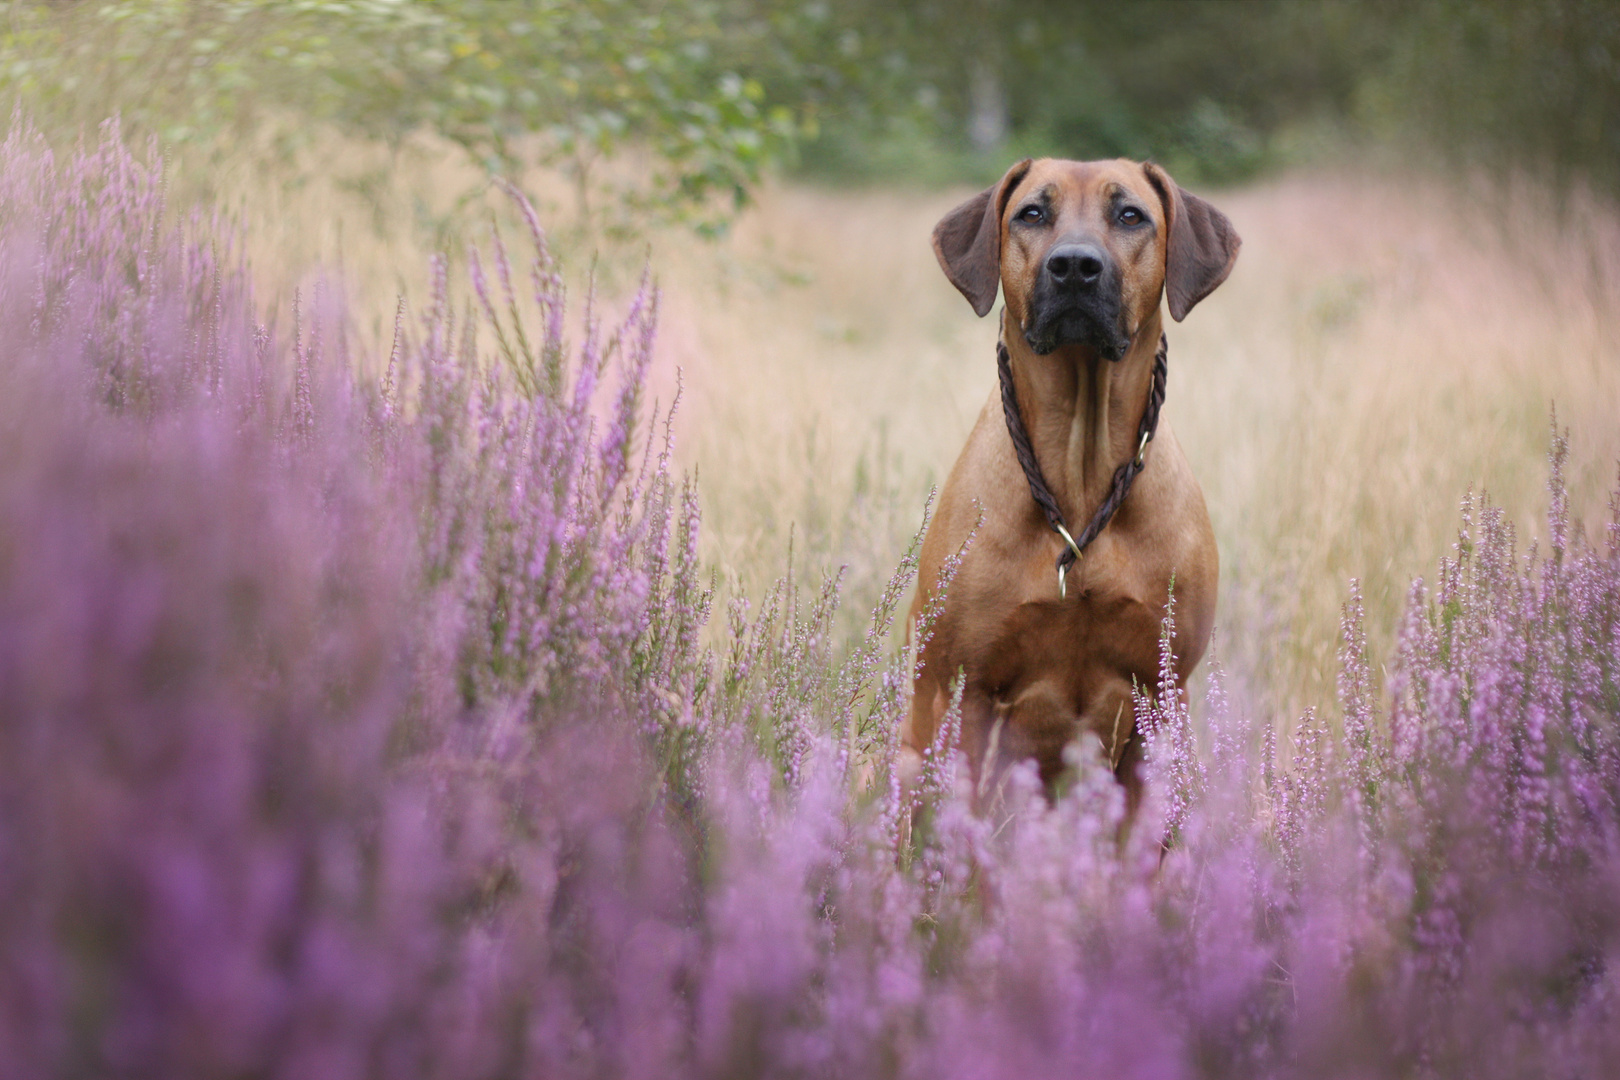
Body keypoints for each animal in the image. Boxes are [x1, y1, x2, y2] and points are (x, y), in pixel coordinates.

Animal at [900, 156, 1237, 806]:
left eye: (1130, 215)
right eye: (1032, 213)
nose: (1075, 267)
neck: (1080, 477)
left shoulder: (1163, 694)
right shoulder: (966, 693)